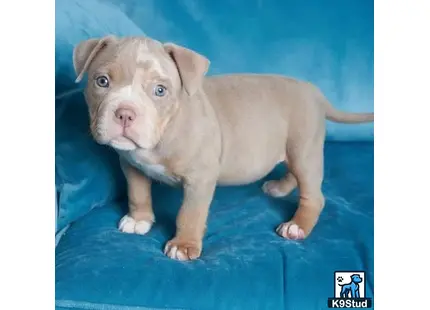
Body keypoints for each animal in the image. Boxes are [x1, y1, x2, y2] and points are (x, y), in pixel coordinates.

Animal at [73, 35, 372, 260]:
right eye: (102, 81)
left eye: (160, 90)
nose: (125, 113)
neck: (165, 130)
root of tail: (315, 91)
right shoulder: (131, 164)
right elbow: (137, 193)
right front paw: (140, 219)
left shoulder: (200, 178)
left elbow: (190, 212)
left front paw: (184, 245)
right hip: (292, 147)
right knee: (292, 171)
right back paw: (280, 187)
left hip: (304, 147)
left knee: (314, 194)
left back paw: (297, 225)